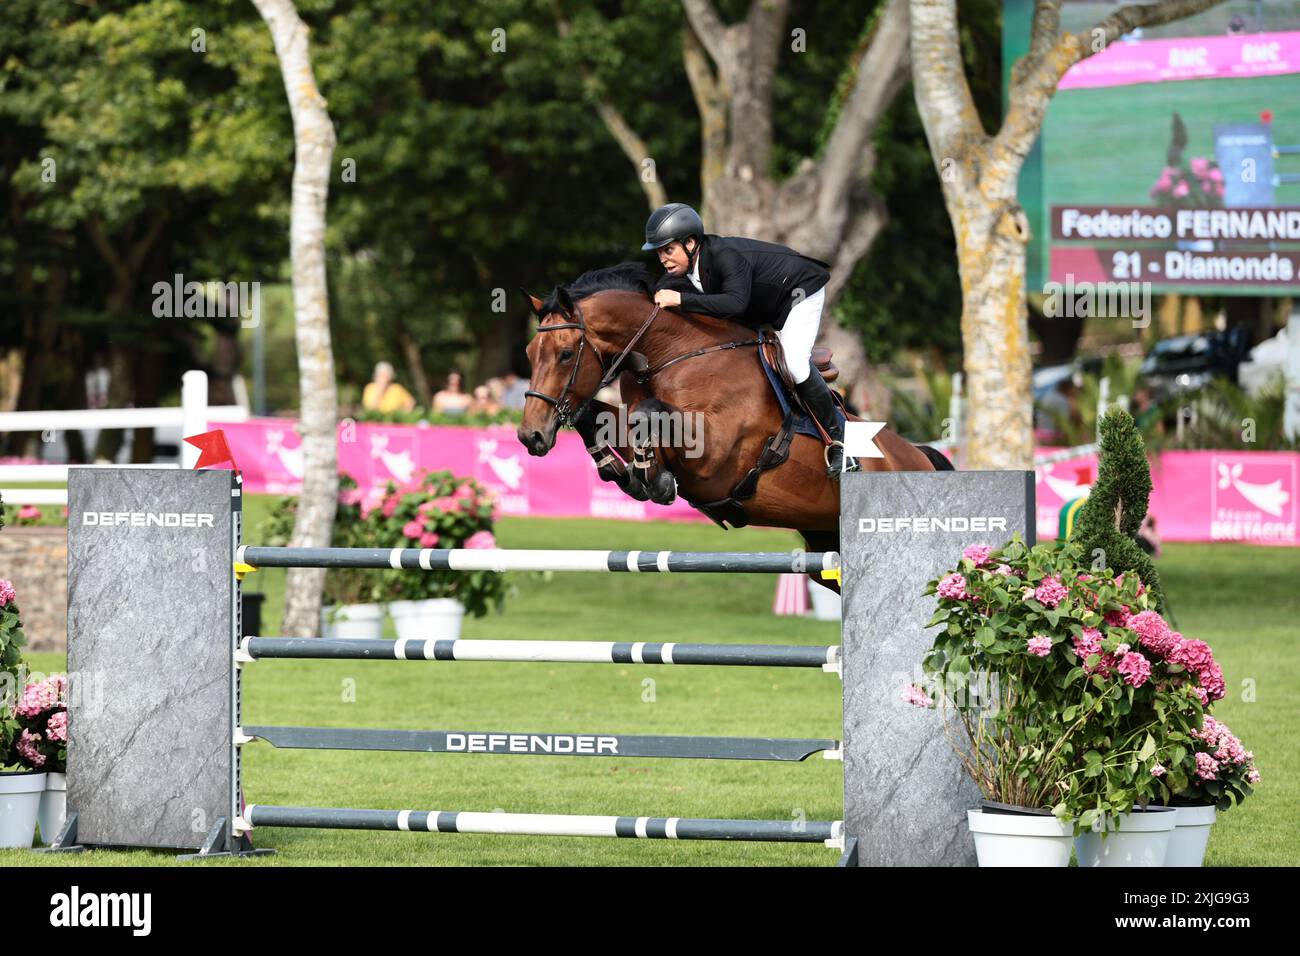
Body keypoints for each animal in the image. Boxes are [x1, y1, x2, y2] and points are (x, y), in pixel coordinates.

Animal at [520, 260, 956, 582]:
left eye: (564, 354)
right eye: (528, 353)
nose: (530, 436)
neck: (670, 352)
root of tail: (919, 456)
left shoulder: (716, 455)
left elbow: (650, 414)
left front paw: (654, 480)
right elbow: (599, 416)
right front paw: (622, 471)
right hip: (824, 547)